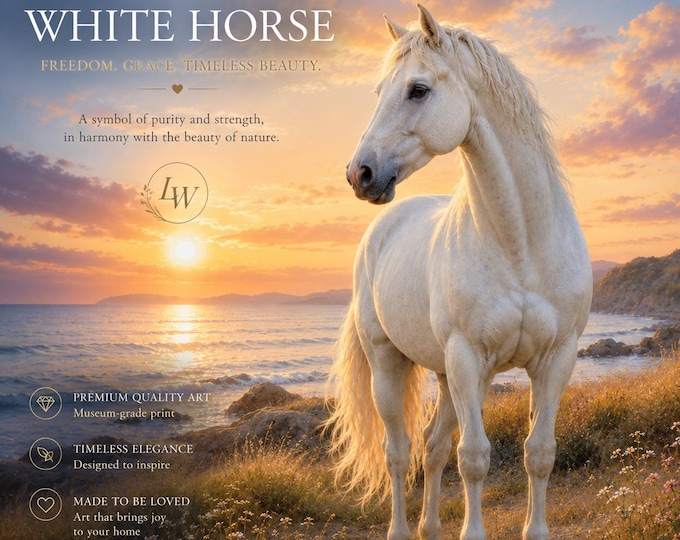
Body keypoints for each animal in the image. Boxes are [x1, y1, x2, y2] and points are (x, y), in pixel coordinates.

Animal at [326, 5, 592, 540]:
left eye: (418, 89)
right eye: (380, 92)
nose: (359, 174)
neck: (521, 246)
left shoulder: (557, 358)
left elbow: (540, 453)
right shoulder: (469, 357)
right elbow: (473, 458)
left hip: (448, 376)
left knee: (431, 449)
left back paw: (428, 527)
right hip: (390, 364)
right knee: (399, 452)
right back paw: (401, 530)